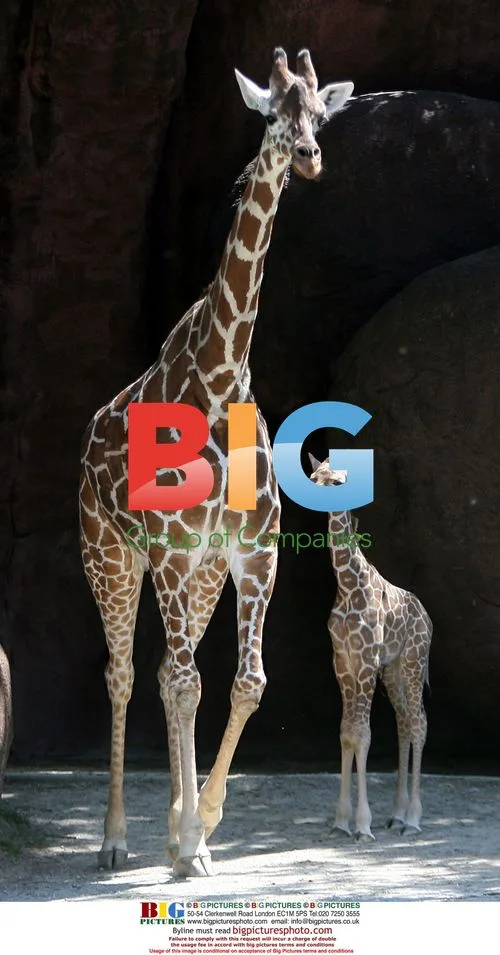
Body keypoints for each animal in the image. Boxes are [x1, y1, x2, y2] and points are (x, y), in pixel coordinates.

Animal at [79, 48, 354, 878]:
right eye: (273, 116)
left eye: (320, 116)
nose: (310, 157)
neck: (223, 371)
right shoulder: (170, 551)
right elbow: (182, 681)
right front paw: (191, 836)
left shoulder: (252, 551)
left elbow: (246, 682)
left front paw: (200, 824)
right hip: (110, 554)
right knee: (129, 673)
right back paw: (115, 838)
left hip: (197, 576)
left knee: (173, 674)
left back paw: (174, 831)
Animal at [309, 455, 432, 841]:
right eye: (314, 476)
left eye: (337, 482)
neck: (348, 586)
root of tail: (427, 616)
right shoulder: (343, 662)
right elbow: (346, 732)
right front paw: (341, 821)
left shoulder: (364, 662)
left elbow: (362, 734)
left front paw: (362, 824)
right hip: (392, 671)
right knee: (405, 722)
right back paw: (397, 815)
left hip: (413, 661)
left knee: (419, 723)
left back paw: (413, 818)